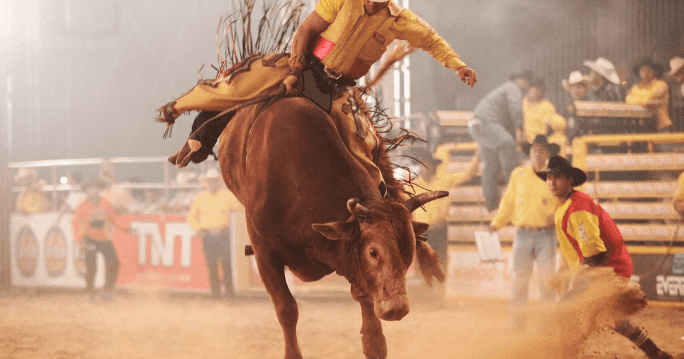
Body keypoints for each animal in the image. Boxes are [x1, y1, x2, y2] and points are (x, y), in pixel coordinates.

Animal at [216, 97, 446, 359]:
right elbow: (286, 308)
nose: (397, 308)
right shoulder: (264, 253)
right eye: (373, 252)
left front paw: (373, 342)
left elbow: (364, 298)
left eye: (408, 249)